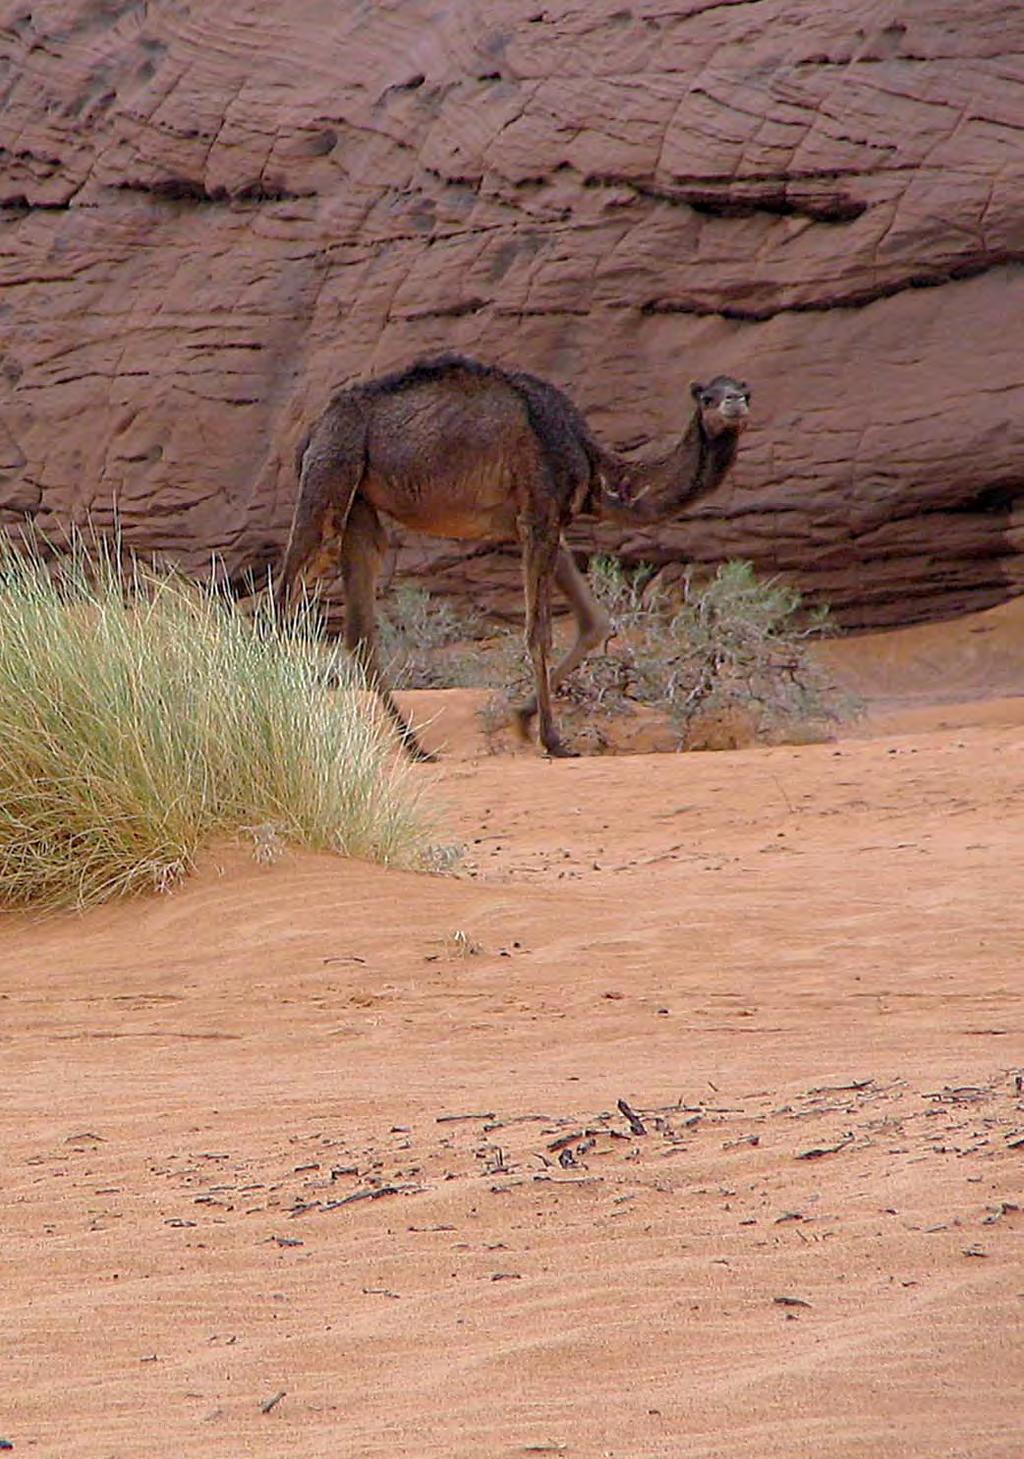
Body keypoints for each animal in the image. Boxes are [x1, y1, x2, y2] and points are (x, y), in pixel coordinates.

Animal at [277, 354, 752, 764]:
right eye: (707, 397)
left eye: (744, 390)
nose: (735, 402)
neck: (591, 462)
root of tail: (312, 432)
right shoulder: (538, 511)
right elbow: (538, 631)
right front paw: (552, 739)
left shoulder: (547, 519)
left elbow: (594, 621)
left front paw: (523, 721)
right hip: (330, 471)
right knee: (284, 600)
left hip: (359, 506)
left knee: (358, 630)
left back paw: (418, 749)